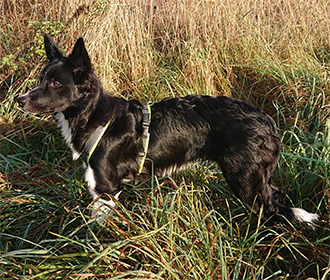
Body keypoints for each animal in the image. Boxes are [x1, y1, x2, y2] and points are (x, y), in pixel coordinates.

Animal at [18, 34, 320, 228]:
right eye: (41, 79)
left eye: (56, 83)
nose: (20, 100)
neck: (96, 117)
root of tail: (267, 121)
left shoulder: (105, 190)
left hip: (246, 181)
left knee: (271, 210)